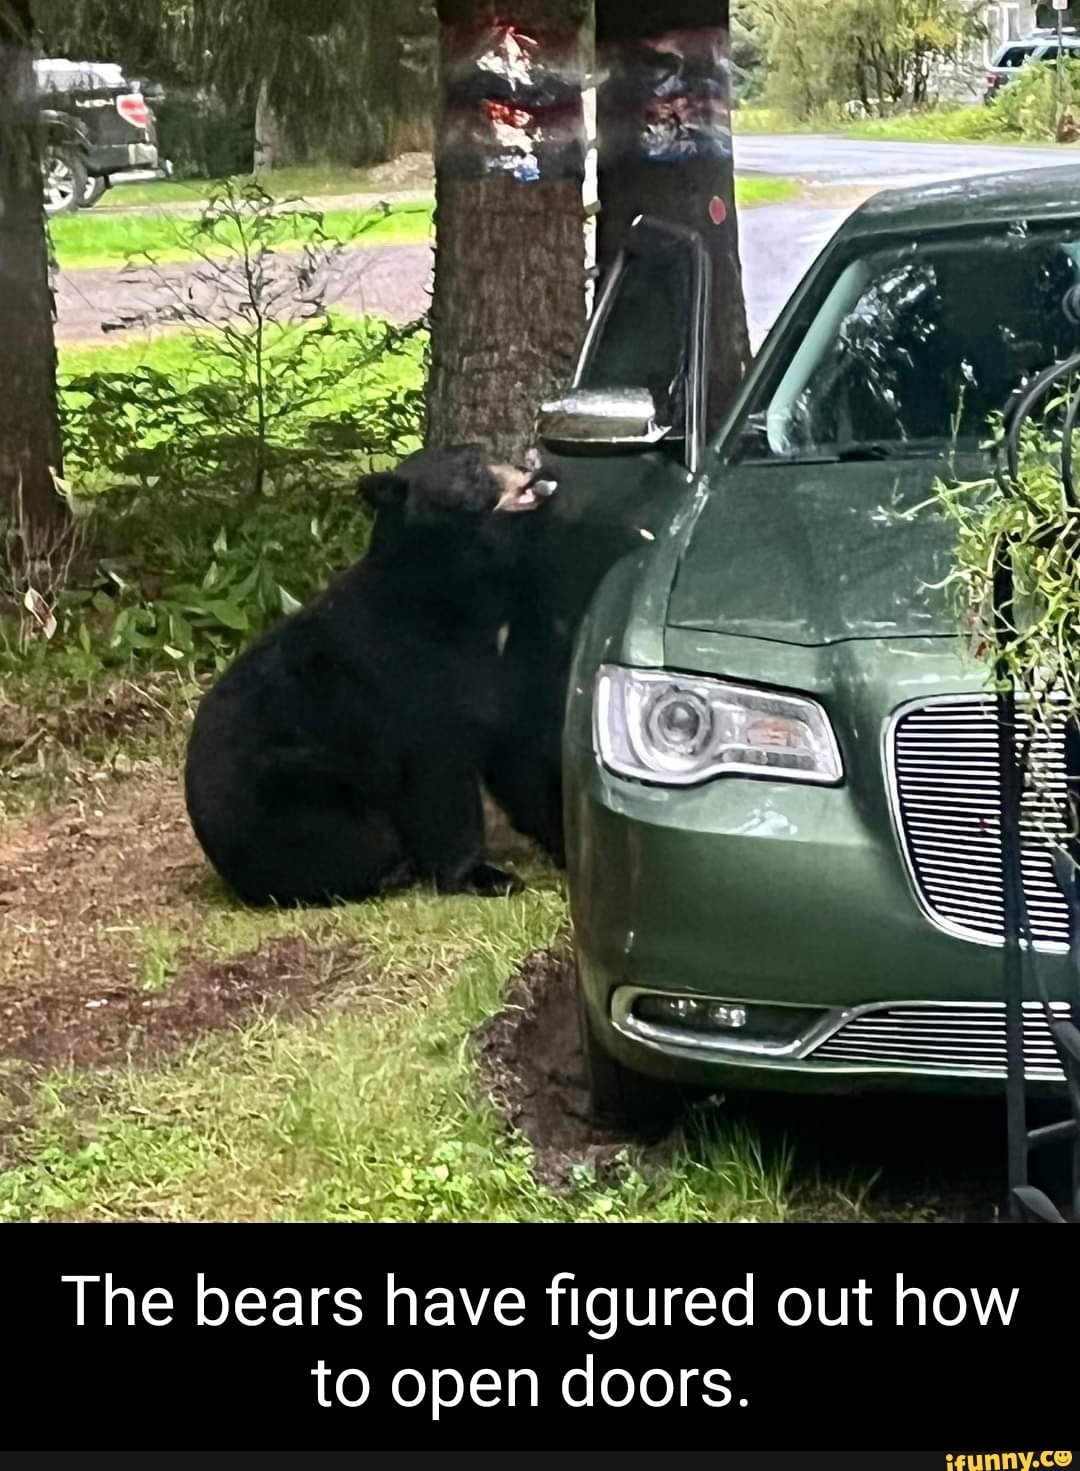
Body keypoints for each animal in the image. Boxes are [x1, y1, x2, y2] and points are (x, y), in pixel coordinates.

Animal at [183, 443, 555, 908]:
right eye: (470, 468)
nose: (527, 467)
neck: (452, 603)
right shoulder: (409, 676)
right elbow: (441, 782)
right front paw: (479, 875)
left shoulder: (498, 671)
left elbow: (516, 752)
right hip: (293, 793)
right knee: (354, 839)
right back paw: (389, 870)